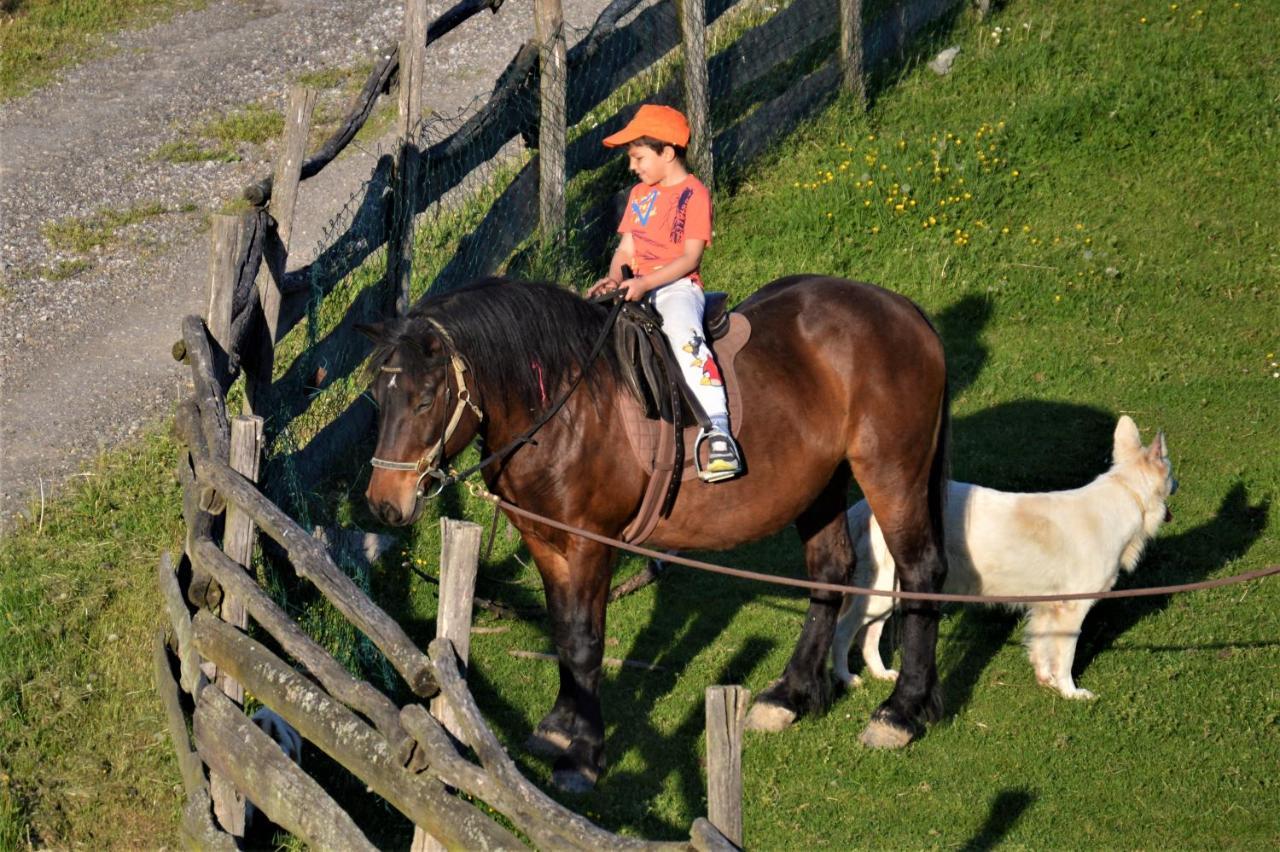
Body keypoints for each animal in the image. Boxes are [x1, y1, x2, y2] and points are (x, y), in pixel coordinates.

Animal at [360, 277, 952, 788]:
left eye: (424, 399)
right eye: (378, 399)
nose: (384, 503)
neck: (563, 409)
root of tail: (901, 309)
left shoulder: (589, 543)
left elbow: (584, 641)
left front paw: (584, 755)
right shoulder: (545, 541)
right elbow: (562, 631)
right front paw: (559, 728)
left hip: (892, 470)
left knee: (921, 572)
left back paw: (900, 712)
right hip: (821, 483)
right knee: (830, 571)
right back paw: (790, 695)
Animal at [829, 411, 1177, 695]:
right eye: (1172, 472)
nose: (1178, 483)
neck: (1125, 495)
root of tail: (865, 507)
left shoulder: (1047, 608)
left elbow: (1042, 646)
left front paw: (1046, 680)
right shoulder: (1072, 609)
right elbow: (1065, 656)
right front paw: (1070, 692)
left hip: (890, 594)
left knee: (867, 636)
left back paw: (881, 673)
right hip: (880, 595)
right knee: (843, 631)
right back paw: (846, 679)